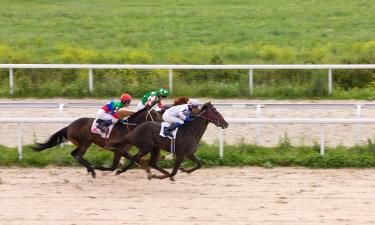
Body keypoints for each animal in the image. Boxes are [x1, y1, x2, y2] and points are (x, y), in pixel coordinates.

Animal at [32, 107, 162, 178]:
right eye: (155, 115)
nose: (162, 124)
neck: (127, 127)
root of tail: (69, 126)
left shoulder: (119, 150)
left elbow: (116, 165)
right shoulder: (118, 149)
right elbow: (130, 160)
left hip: (82, 143)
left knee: (74, 154)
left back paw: (90, 169)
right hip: (85, 143)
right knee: (78, 155)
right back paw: (92, 170)